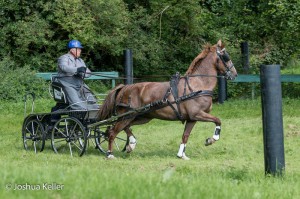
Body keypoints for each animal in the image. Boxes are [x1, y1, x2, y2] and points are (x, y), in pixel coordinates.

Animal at [97, 39, 238, 159]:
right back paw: (110, 154)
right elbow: (218, 120)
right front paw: (211, 140)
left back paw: (131, 144)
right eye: (226, 57)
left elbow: (185, 136)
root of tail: (124, 87)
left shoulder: (192, 118)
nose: (235, 74)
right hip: (128, 115)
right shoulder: (197, 114)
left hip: (142, 117)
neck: (198, 85)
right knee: (113, 131)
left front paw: (181, 155)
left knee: (124, 127)